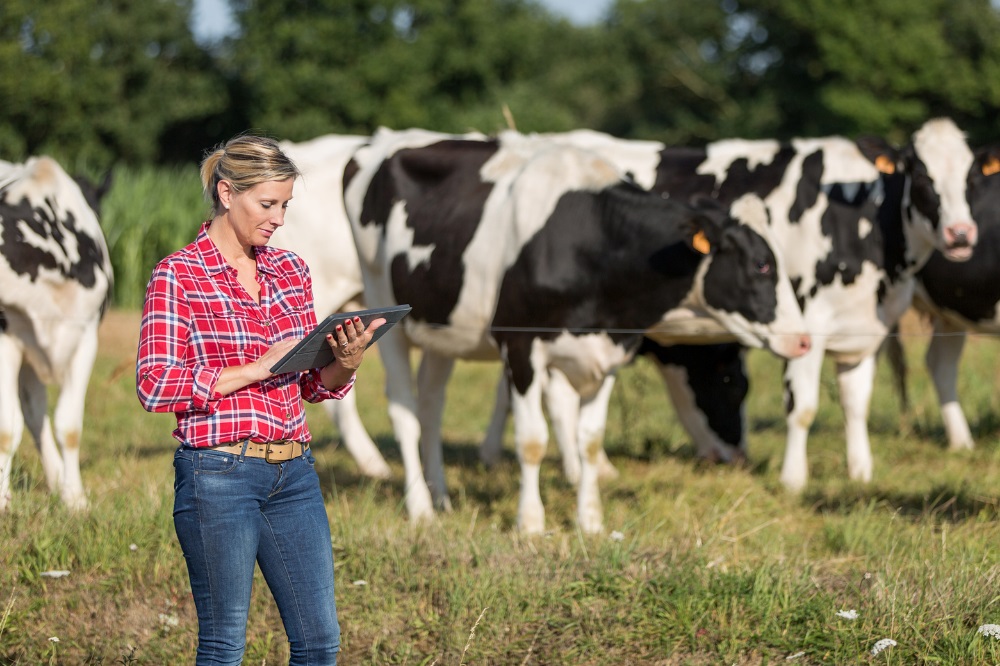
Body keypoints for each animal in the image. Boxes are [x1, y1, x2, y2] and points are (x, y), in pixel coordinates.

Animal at [0, 156, 114, 508]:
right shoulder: (7, 339)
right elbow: (7, 428)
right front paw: (2, 501)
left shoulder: (85, 335)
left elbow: (69, 426)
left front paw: (74, 498)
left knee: (36, 414)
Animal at [344, 128, 812, 536]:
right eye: (761, 265)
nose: (804, 338)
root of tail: (382, 141)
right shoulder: (520, 344)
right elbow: (532, 440)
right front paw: (531, 523)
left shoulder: (610, 353)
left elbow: (589, 440)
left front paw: (590, 520)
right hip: (383, 311)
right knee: (405, 411)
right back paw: (421, 507)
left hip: (443, 329)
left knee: (431, 405)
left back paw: (440, 496)